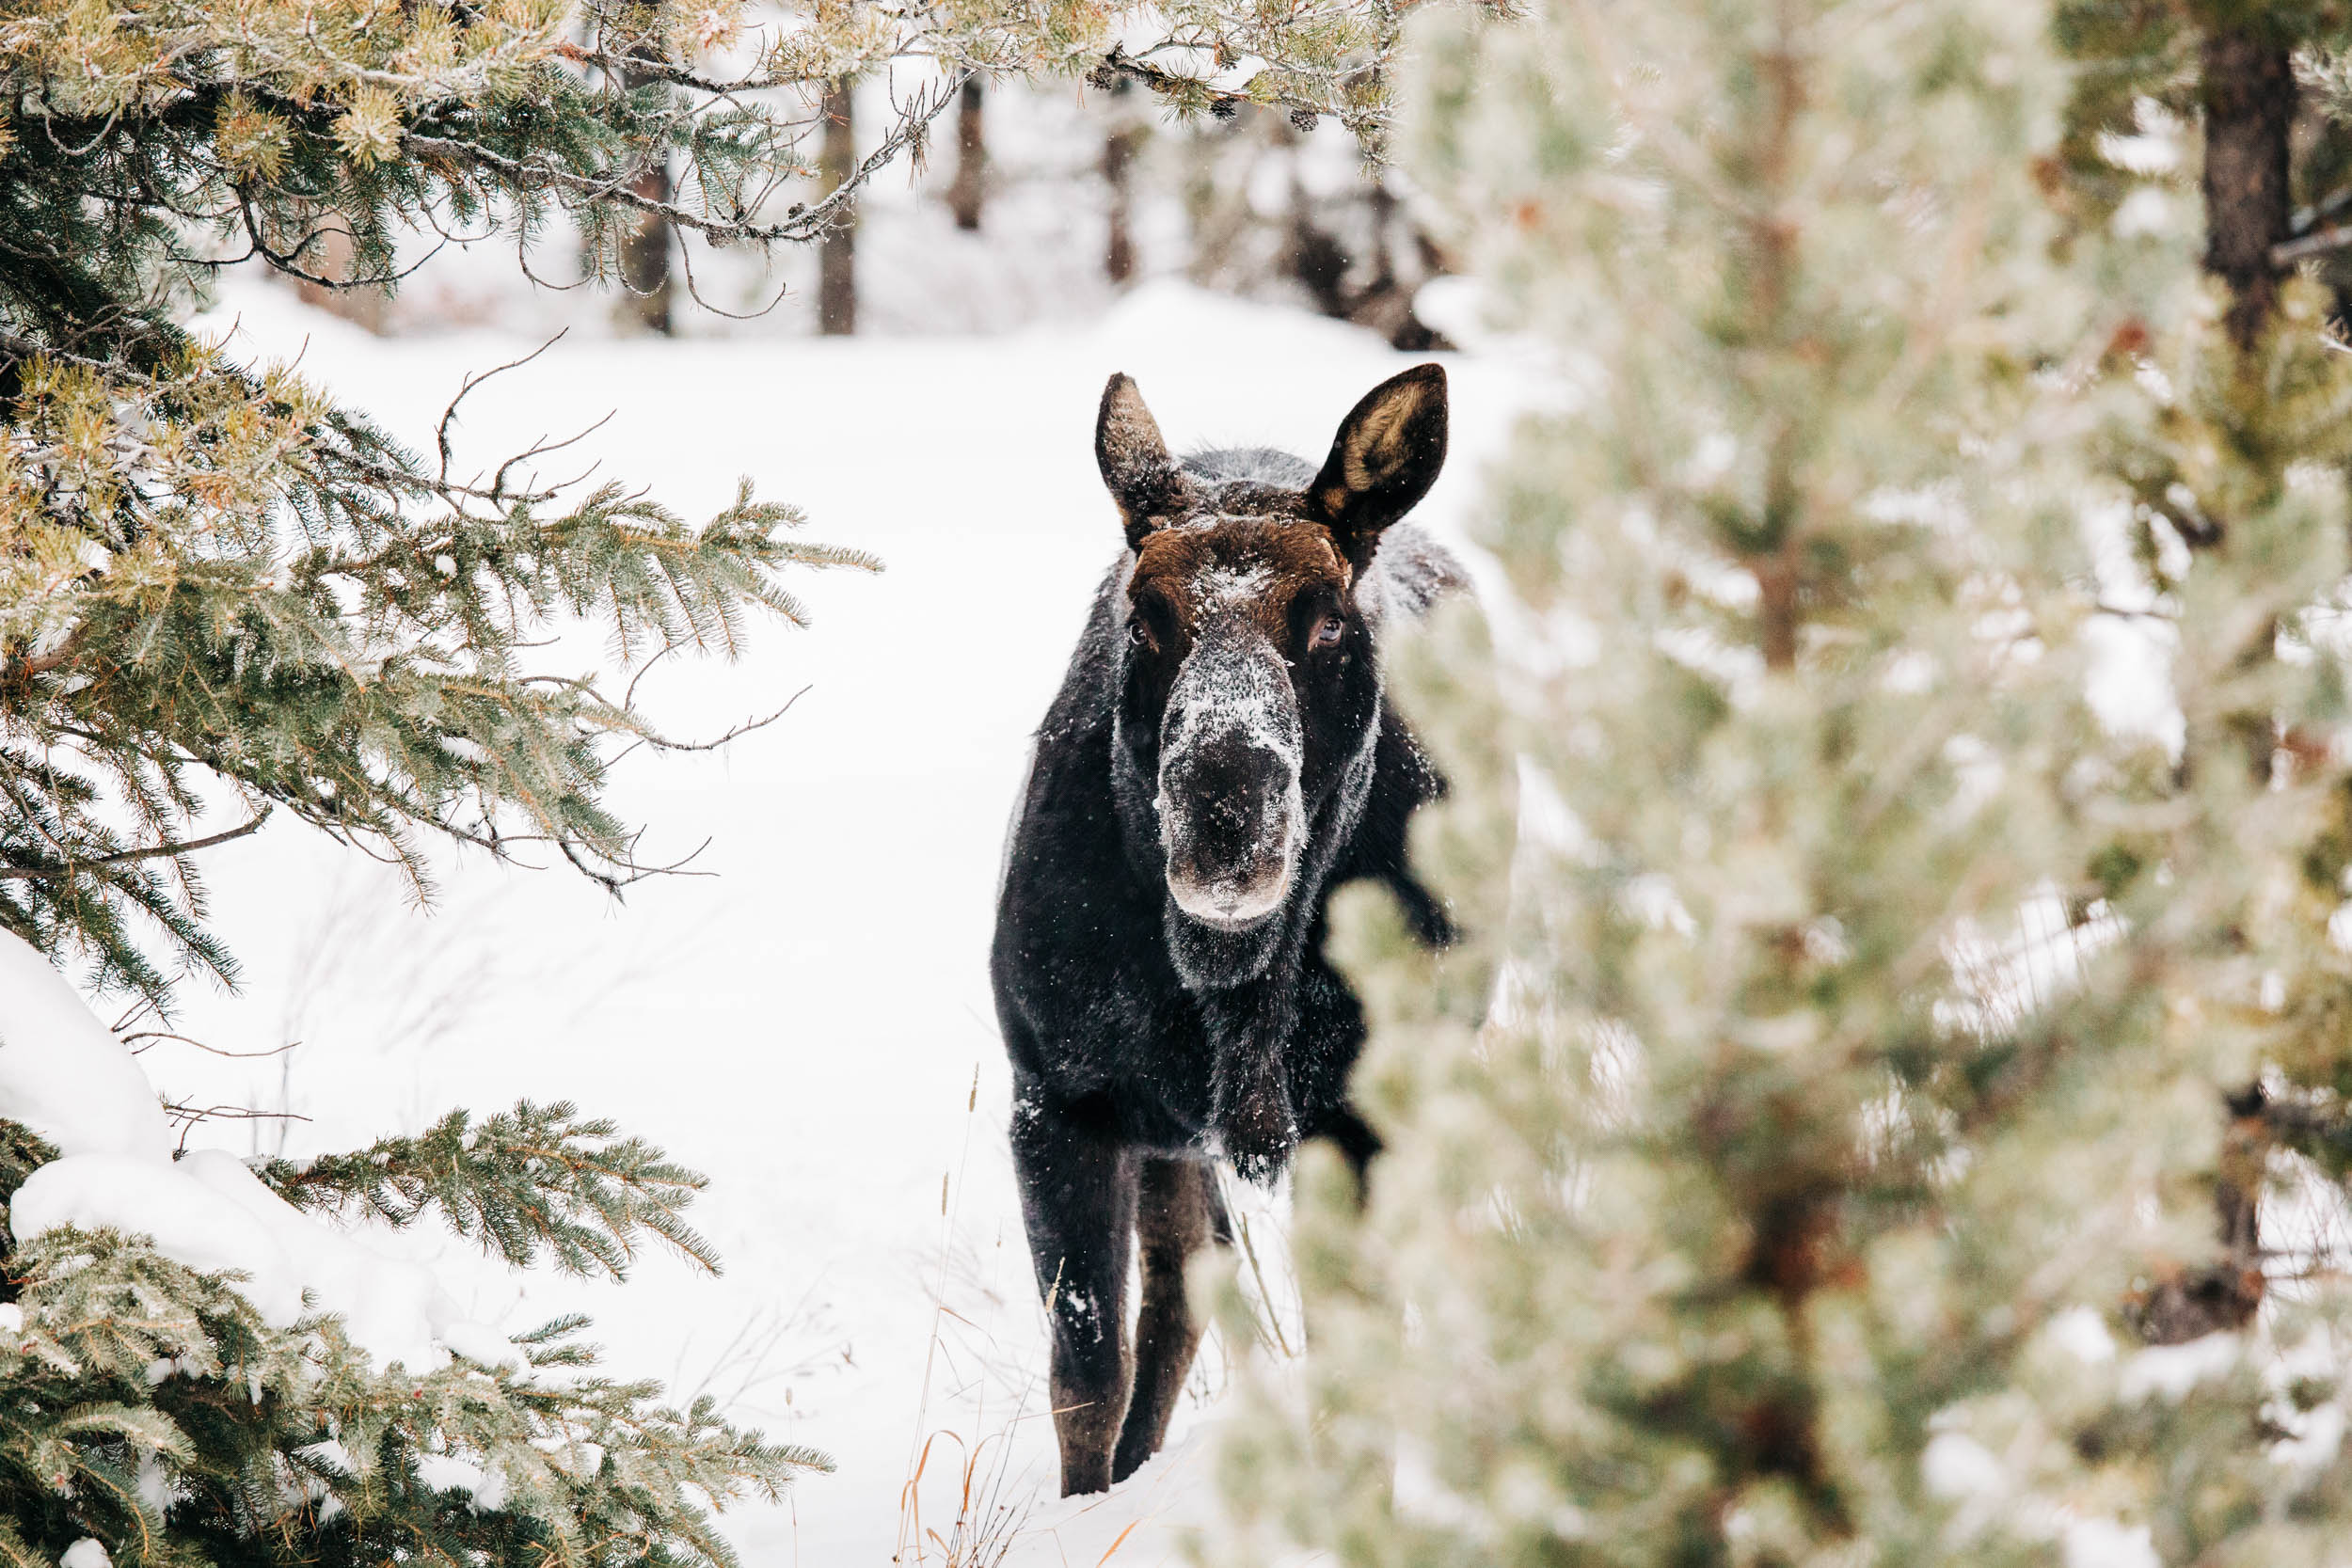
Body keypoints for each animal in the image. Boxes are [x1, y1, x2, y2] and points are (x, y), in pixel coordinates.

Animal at [983, 364, 1458, 1495]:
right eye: (1144, 616)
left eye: (1326, 619)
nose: (1226, 811)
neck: (1230, 978)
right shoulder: (1053, 1093)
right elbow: (1087, 1367)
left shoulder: (1353, 1122)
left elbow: (1348, 1355)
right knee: (1173, 1311)